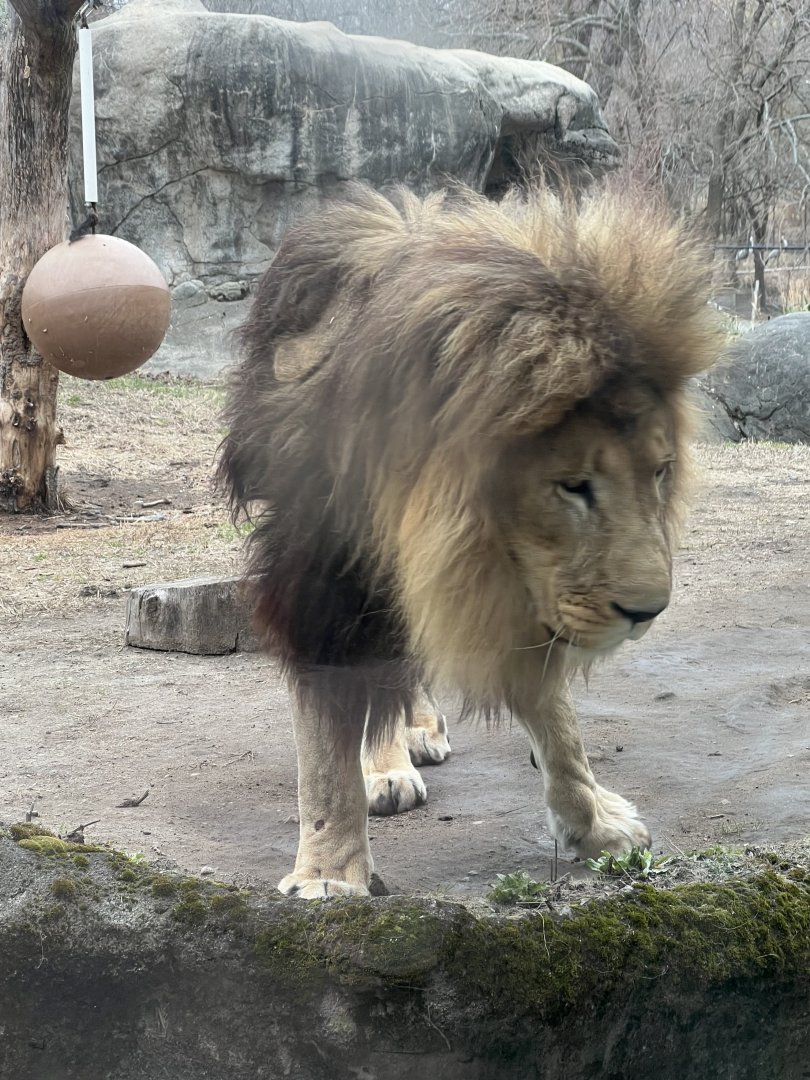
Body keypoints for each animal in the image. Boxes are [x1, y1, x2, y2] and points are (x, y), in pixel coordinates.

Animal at [218, 181, 722, 899]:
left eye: (660, 471)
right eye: (573, 485)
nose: (647, 612)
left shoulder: (523, 588)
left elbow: (555, 715)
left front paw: (594, 823)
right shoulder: (321, 577)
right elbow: (325, 742)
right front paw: (329, 872)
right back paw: (384, 768)